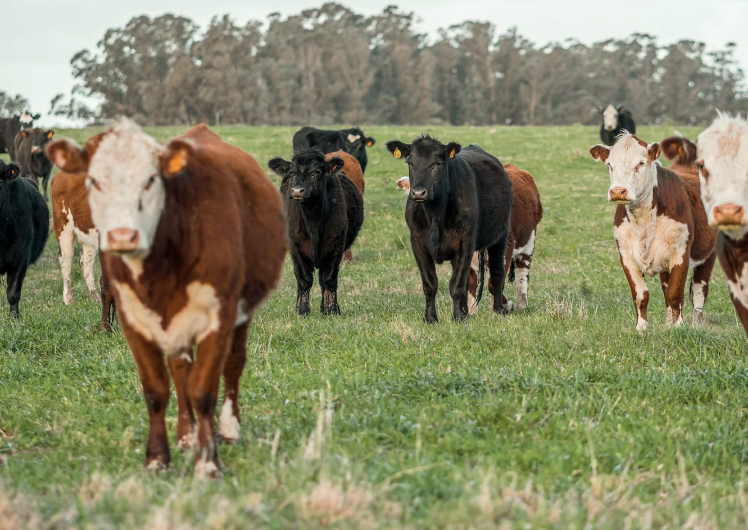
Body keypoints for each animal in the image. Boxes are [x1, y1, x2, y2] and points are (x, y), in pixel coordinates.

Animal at [268, 147, 364, 316]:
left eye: (316, 172)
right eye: (292, 173)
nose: (297, 191)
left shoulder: (336, 246)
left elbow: (329, 279)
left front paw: (331, 310)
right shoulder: (296, 247)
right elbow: (304, 279)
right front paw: (302, 310)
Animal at [386, 135, 513, 323]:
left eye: (437, 163)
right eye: (410, 163)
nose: (418, 193)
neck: (435, 215)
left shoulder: (466, 242)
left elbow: (457, 285)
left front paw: (458, 318)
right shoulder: (417, 243)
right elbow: (430, 284)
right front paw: (431, 318)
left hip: (500, 235)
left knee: (497, 273)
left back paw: (498, 310)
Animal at [589, 132, 717, 330]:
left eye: (641, 163)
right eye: (609, 164)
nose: (618, 191)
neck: (643, 222)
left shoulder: (681, 253)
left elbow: (675, 293)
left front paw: (678, 327)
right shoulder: (625, 255)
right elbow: (641, 295)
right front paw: (642, 329)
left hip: (708, 254)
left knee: (699, 290)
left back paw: (696, 324)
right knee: (666, 286)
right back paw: (668, 322)